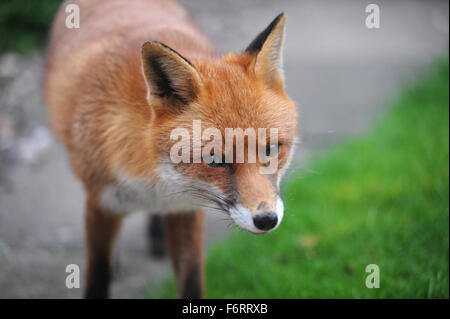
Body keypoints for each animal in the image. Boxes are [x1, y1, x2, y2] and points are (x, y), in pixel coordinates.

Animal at [44, 0, 298, 300]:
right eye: (214, 159)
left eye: (271, 149)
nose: (266, 219)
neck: (158, 181)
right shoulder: (101, 203)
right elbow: (98, 275)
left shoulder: (186, 210)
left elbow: (192, 282)